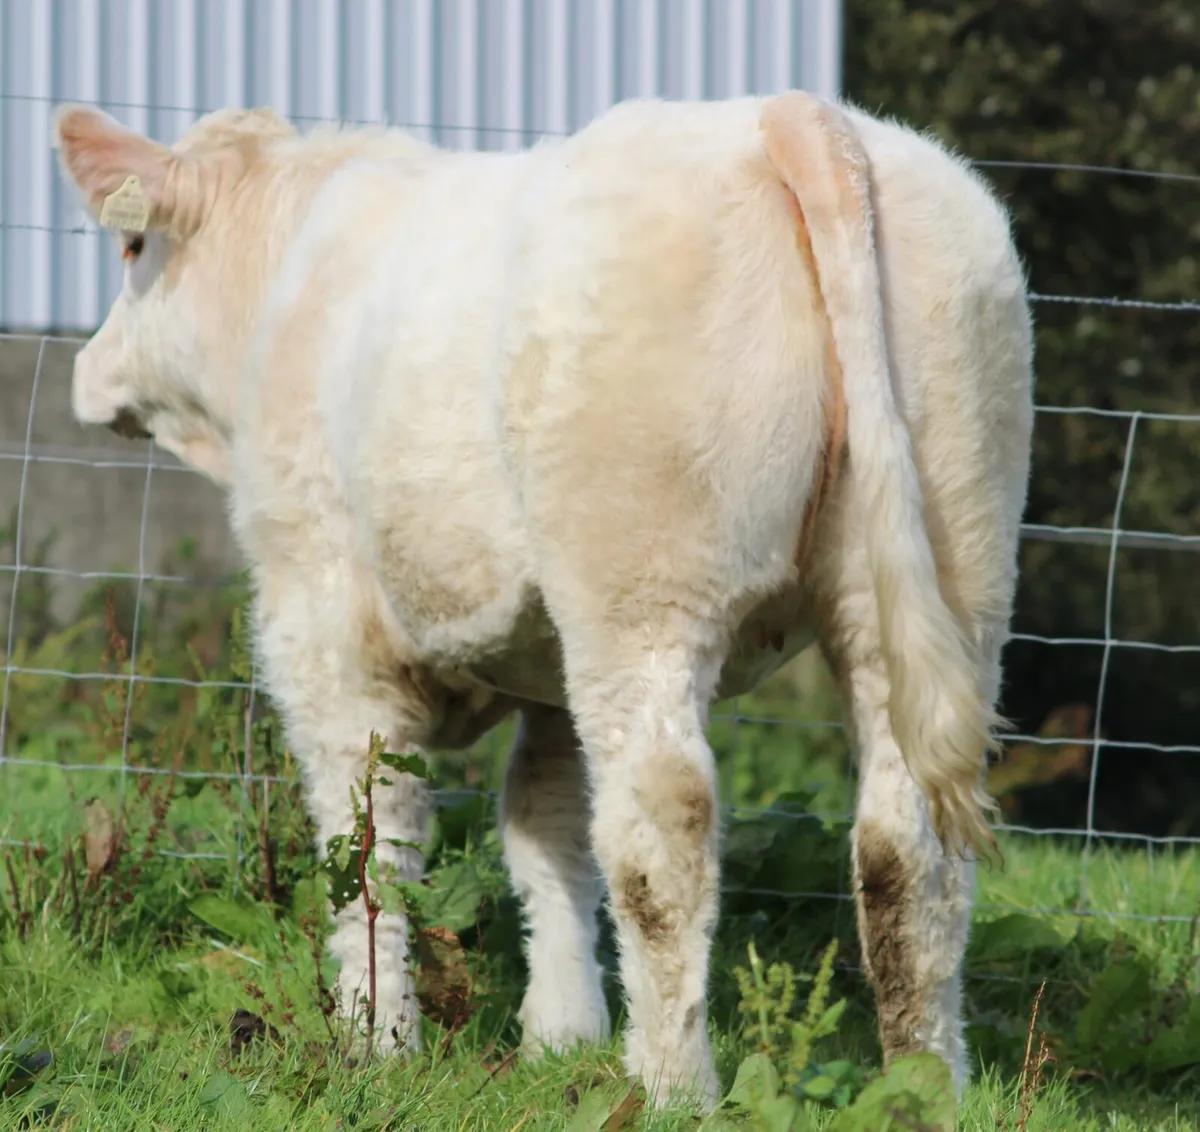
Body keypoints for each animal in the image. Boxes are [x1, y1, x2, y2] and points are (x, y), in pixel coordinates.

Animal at [53, 89, 1034, 1110]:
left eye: (133, 248)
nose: (88, 370)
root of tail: (792, 113)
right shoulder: (550, 666)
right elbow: (546, 829)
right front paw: (560, 1034)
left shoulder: (320, 617)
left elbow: (369, 838)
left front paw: (376, 1040)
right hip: (950, 569)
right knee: (907, 843)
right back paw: (924, 1085)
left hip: (643, 589)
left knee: (662, 829)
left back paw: (670, 1088)